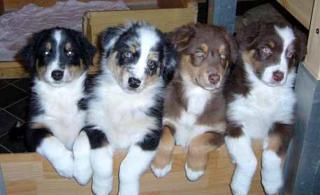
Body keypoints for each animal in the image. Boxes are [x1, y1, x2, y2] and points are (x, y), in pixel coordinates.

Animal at [19, 27, 95, 178]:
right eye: (46, 52)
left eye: (70, 52)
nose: (57, 74)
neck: (60, 95)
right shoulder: (32, 130)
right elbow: (50, 140)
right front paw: (67, 166)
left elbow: (83, 137)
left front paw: (82, 171)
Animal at [72, 22, 176, 195]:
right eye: (128, 54)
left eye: (152, 64)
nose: (134, 82)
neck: (125, 98)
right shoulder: (96, 127)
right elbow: (100, 162)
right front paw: (100, 186)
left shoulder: (149, 136)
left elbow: (128, 167)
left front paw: (127, 191)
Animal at [152, 23, 238, 181]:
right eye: (199, 54)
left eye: (223, 56)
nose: (215, 78)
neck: (197, 93)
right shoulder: (166, 120)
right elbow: (165, 137)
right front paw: (160, 166)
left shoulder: (219, 132)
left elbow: (200, 141)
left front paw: (194, 169)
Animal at [224, 21, 306, 195]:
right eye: (266, 49)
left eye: (291, 55)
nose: (279, 75)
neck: (265, 91)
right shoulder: (234, 123)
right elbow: (249, 160)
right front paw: (240, 186)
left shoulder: (284, 123)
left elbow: (271, 156)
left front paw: (272, 184)